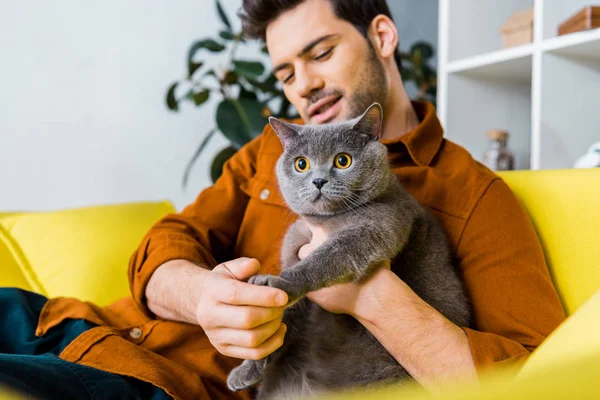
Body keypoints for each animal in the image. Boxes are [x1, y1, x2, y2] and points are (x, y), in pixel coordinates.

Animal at [227, 104, 472, 400]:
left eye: (343, 161)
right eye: (301, 164)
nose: (319, 181)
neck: (326, 222)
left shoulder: (377, 228)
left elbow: (324, 259)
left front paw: (279, 282)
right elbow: (288, 317)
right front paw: (246, 369)